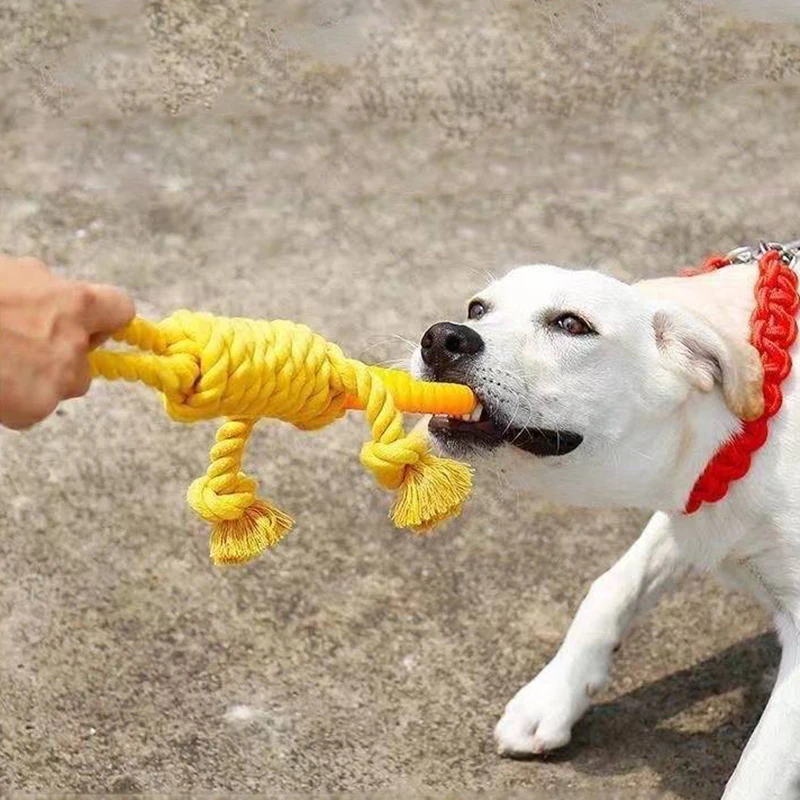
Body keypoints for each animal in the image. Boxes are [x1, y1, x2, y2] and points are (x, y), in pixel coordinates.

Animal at [412, 242, 800, 800]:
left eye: (572, 324)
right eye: (477, 308)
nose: (442, 338)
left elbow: (758, 774)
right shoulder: (697, 505)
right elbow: (611, 588)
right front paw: (552, 696)